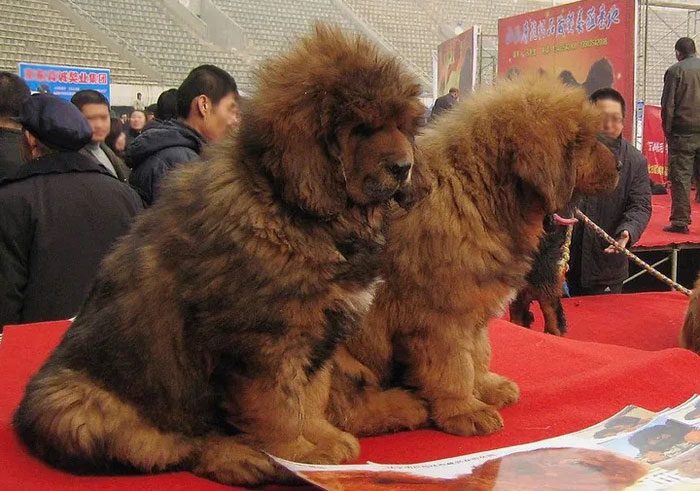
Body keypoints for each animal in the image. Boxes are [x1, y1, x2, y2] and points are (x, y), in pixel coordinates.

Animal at [12, 25, 426, 486]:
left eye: (401, 126)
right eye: (361, 128)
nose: (404, 166)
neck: (291, 208)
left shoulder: (318, 331)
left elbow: (311, 393)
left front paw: (321, 437)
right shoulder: (264, 340)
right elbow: (279, 406)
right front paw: (299, 455)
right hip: (72, 406)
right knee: (166, 446)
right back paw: (240, 458)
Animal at [328, 76, 616, 438]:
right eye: (584, 142)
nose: (621, 165)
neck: (477, 190)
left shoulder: (475, 306)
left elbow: (478, 352)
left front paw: (487, 388)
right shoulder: (441, 314)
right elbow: (454, 366)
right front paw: (465, 410)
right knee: (344, 408)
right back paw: (404, 407)